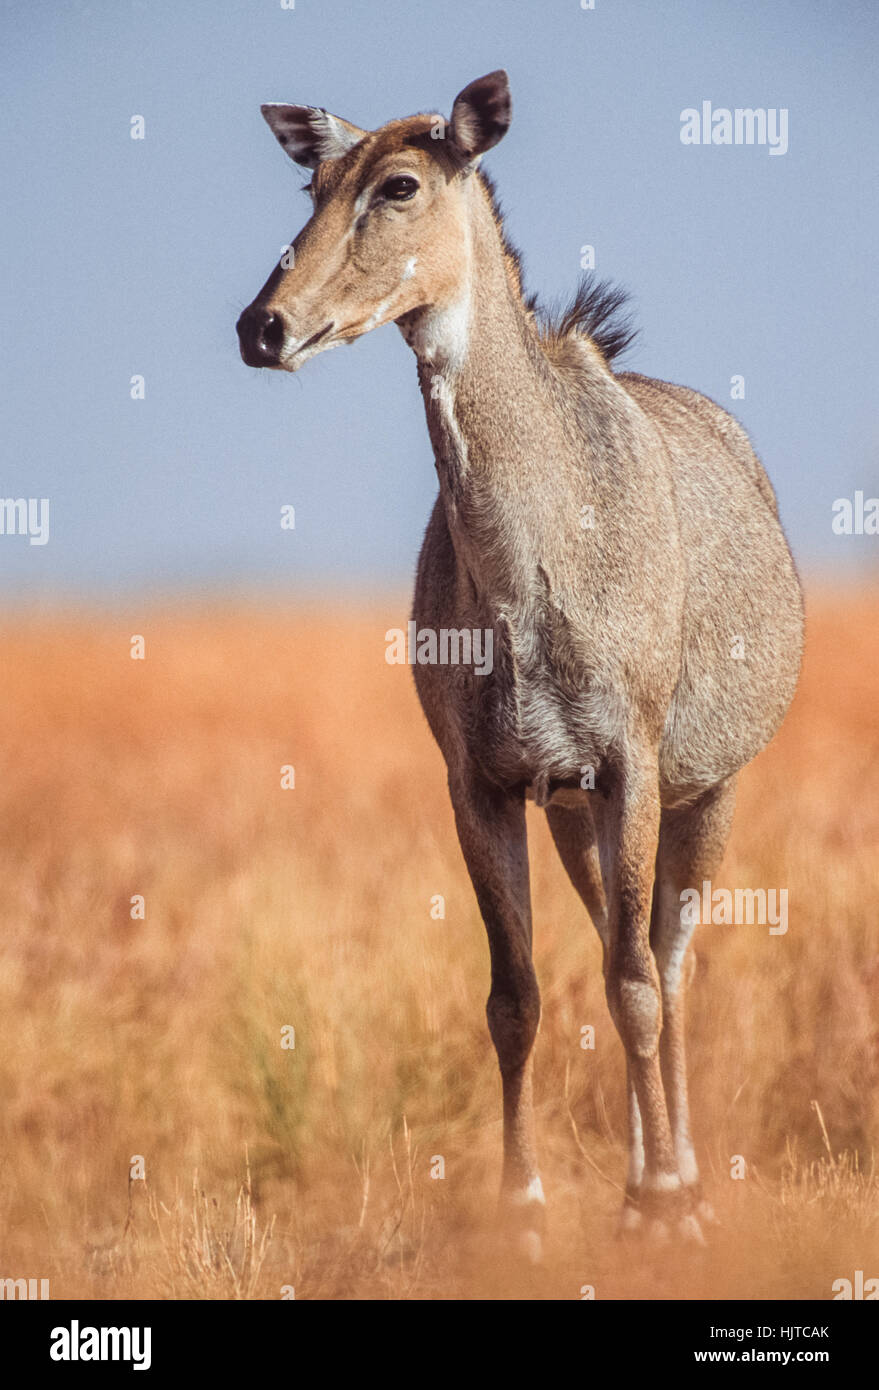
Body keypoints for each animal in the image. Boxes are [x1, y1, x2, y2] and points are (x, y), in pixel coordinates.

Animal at [239, 70, 801, 1256]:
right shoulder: (486, 783)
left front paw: (668, 1207)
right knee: (611, 950)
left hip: (705, 791)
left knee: (667, 964)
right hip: (573, 812)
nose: (263, 325)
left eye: (401, 184)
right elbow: (516, 995)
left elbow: (635, 985)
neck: (526, 568)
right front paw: (524, 1211)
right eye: (312, 185)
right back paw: (637, 1178)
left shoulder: (631, 764)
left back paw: (677, 1181)